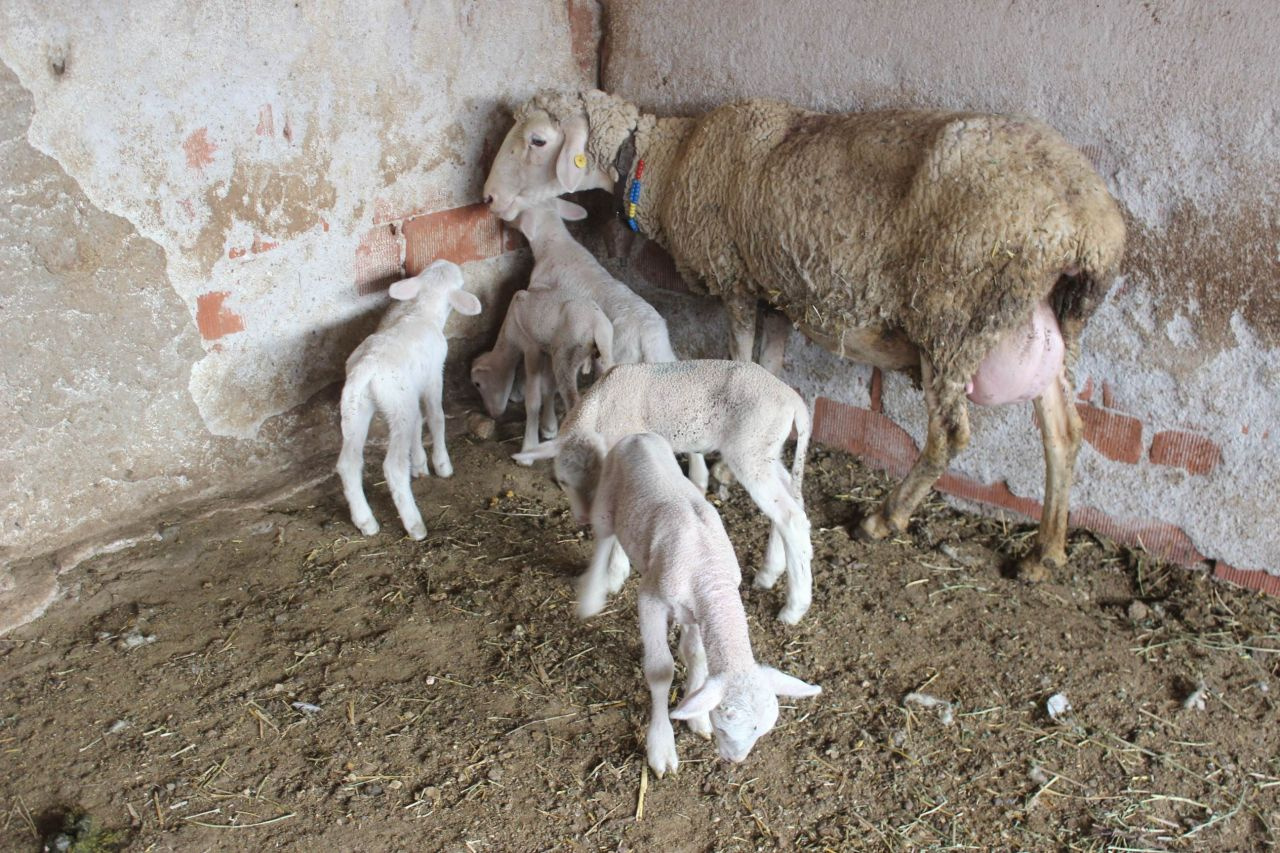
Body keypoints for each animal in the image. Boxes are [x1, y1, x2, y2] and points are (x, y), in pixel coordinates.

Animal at [335, 258, 481, 537]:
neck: (422, 312)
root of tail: (367, 369)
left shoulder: (414, 391)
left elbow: (418, 425)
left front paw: (420, 466)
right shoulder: (434, 375)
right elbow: (435, 417)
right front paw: (442, 465)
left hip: (355, 406)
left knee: (348, 463)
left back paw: (365, 521)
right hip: (397, 404)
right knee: (393, 466)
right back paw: (414, 525)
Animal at [483, 89, 1126, 578]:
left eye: (536, 141)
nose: (488, 198)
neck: (668, 162)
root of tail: (1090, 227)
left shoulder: (736, 277)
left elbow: (742, 355)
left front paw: (721, 466)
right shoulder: (777, 289)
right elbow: (769, 365)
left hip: (955, 314)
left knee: (949, 433)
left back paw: (884, 518)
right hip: (1044, 327)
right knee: (1064, 434)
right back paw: (1045, 551)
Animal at [512, 356, 808, 622]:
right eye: (563, 481)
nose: (583, 518)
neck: (601, 406)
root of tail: (793, 401)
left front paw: (614, 576)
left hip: (750, 449)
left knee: (790, 517)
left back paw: (793, 609)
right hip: (767, 452)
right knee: (793, 503)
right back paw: (769, 573)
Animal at [581, 427, 819, 773]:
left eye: (762, 731)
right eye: (725, 723)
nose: (735, 760)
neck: (708, 569)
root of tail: (639, 436)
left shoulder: (698, 612)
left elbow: (696, 656)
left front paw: (696, 716)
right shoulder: (650, 600)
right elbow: (661, 670)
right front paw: (662, 745)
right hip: (605, 496)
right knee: (602, 538)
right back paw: (595, 591)